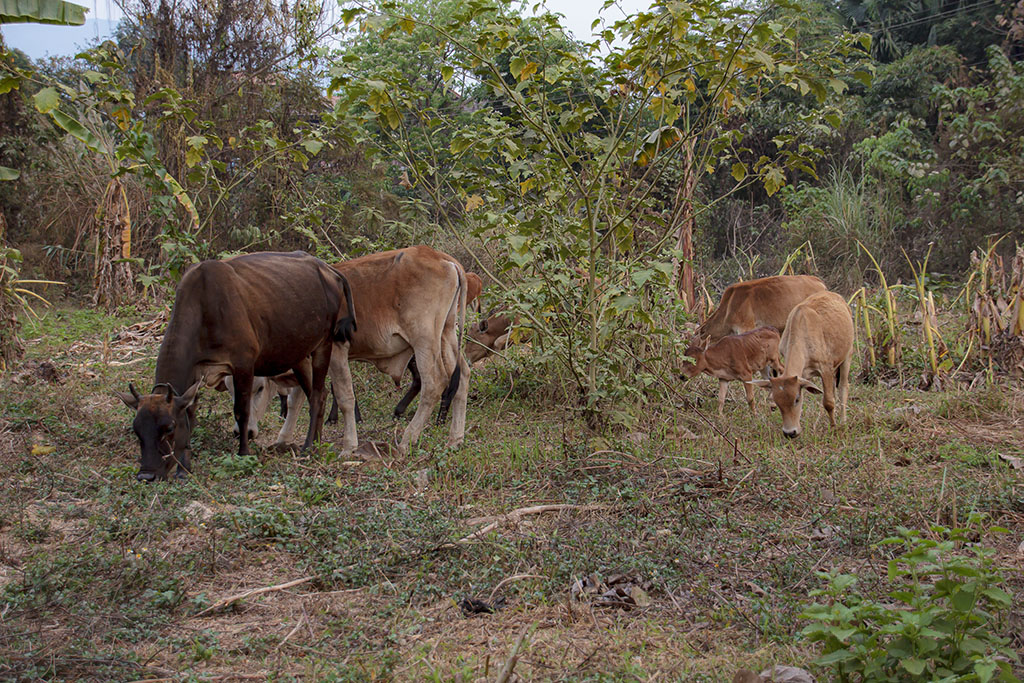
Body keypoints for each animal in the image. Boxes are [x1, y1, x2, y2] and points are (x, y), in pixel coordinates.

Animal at [114, 250, 356, 481]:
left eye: (169, 428)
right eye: (137, 431)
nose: (146, 475)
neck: (204, 309)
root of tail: (328, 269)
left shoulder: (243, 365)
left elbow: (242, 412)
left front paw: (243, 454)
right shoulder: (195, 374)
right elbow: (191, 416)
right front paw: (184, 469)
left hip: (324, 345)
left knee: (317, 395)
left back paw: (309, 448)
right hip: (298, 353)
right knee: (318, 394)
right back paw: (315, 442)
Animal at [753, 290, 856, 438]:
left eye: (796, 399)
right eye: (777, 402)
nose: (790, 432)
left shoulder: (825, 369)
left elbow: (828, 402)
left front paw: (833, 428)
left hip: (848, 355)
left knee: (843, 388)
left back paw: (843, 421)